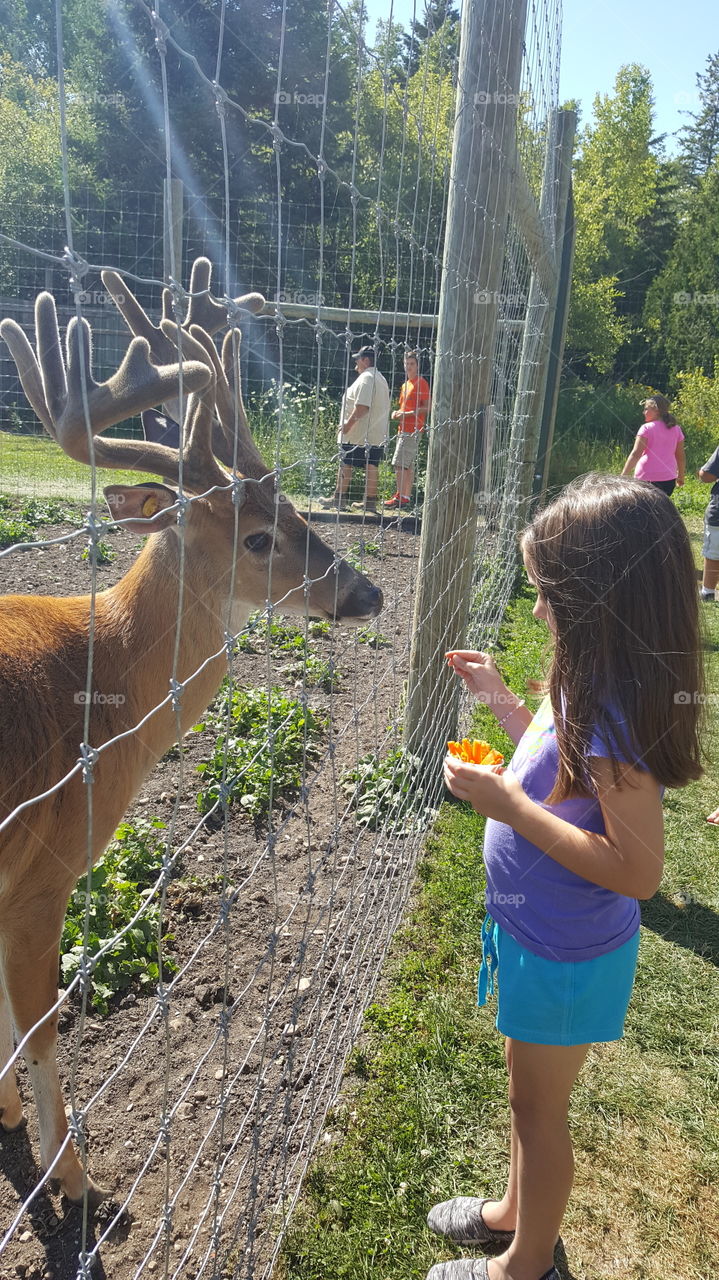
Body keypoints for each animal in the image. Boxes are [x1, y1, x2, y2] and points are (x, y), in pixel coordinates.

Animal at [0, 261, 382, 1208]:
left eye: (295, 507)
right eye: (257, 537)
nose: (365, 593)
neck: (95, 686)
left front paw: (9, 1119)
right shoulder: (43, 865)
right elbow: (38, 1027)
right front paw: (72, 1178)